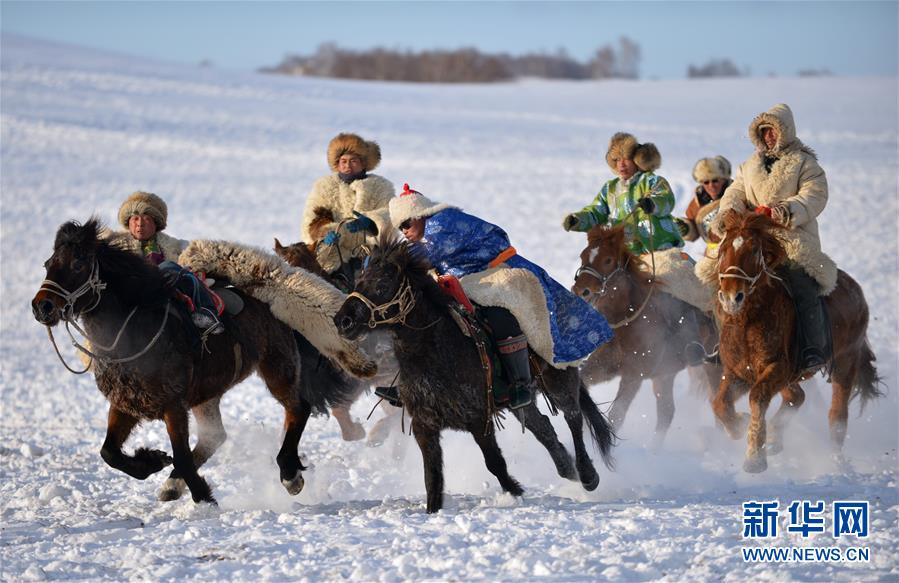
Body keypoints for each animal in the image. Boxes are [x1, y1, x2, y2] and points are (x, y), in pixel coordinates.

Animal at [31, 221, 356, 504]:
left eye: (78, 264)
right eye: (48, 263)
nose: (42, 306)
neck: (136, 331)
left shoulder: (173, 406)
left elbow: (182, 455)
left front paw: (204, 498)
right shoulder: (125, 403)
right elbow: (109, 452)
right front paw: (153, 462)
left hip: (277, 365)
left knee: (297, 409)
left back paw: (289, 475)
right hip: (207, 394)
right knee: (216, 436)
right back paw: (172, 485)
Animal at [334, 240, 616, 512]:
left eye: (382, 284)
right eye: (359, 281)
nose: (342, 321)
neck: (435, 350)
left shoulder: (478, 418)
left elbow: (495, 463)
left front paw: (515, 493)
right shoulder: (425, 425)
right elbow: (432, 477)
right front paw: (433, 510)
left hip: (560, 379)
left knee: (574, 417)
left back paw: (587, 475)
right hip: (520, 403)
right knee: (543, 426)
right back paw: (566, 466)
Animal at [572, 226, 720, 450]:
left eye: (608, 260)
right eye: (583, 256)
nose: (581, 290)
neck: (629, 324)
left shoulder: (634, 375)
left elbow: (617, 415)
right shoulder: (605, 366)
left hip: (712, 367)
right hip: (665, 374)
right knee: (667, 412)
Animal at [712, 212, 884, 472]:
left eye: (754, 250)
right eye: (723, 249)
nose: (732, 297)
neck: (750, 322)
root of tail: (857, 292)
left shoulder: (777, 368)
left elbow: (757, 397)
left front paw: (754, 457)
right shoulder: (738, 373)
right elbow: (719, 403)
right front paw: (740, 426)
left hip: (846, 362)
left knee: (837, 416)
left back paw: (836, 463)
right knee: (796, 397)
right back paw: (775, 439)